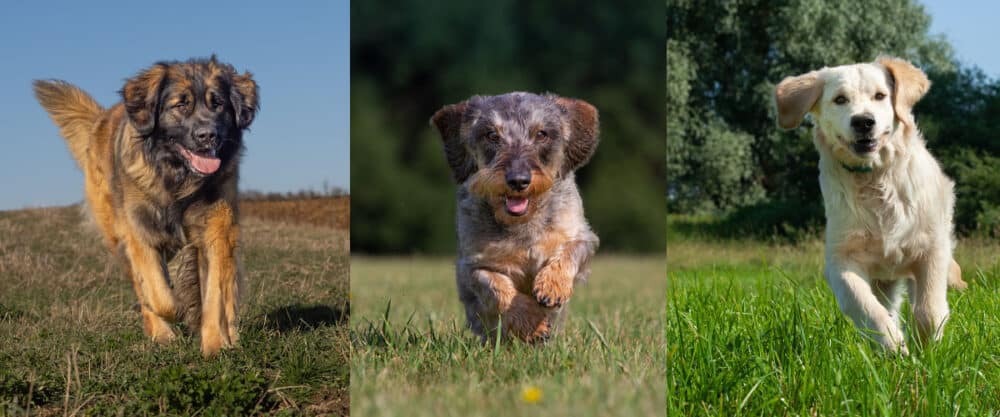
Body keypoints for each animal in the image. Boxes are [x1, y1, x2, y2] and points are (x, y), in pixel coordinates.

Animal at [34, 54, 260, 354]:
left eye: (218, 104)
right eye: (181, 105)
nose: (208, 135)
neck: (177, 179)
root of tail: (102, 119)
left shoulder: (217, 231)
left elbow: (215, 293)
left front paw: (214, 345)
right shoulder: (139, 232)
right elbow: (159, 294)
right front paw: (176, 313)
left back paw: (229, 334)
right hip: (117, 235)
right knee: (142, 289)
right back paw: (161, 332)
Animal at [432, 91, 600, 342]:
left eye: (541, 134)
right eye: (492, 135)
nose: (518, 180)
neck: (522, 224)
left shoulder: (580, 235)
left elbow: (570, 252)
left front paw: (552, 286)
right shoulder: (471, 265)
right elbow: (493, 284)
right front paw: (531, 321)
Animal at [776, 56, 964, 354]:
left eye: (880, 96)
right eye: (840, 99)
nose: (863, 122)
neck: (874, 177)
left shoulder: (932, 247)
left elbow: (929, 309)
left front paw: (927, 350)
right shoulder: (841, 258)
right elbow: (865, 306)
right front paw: (893, 344)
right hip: (883, 280)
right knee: (887, 305)